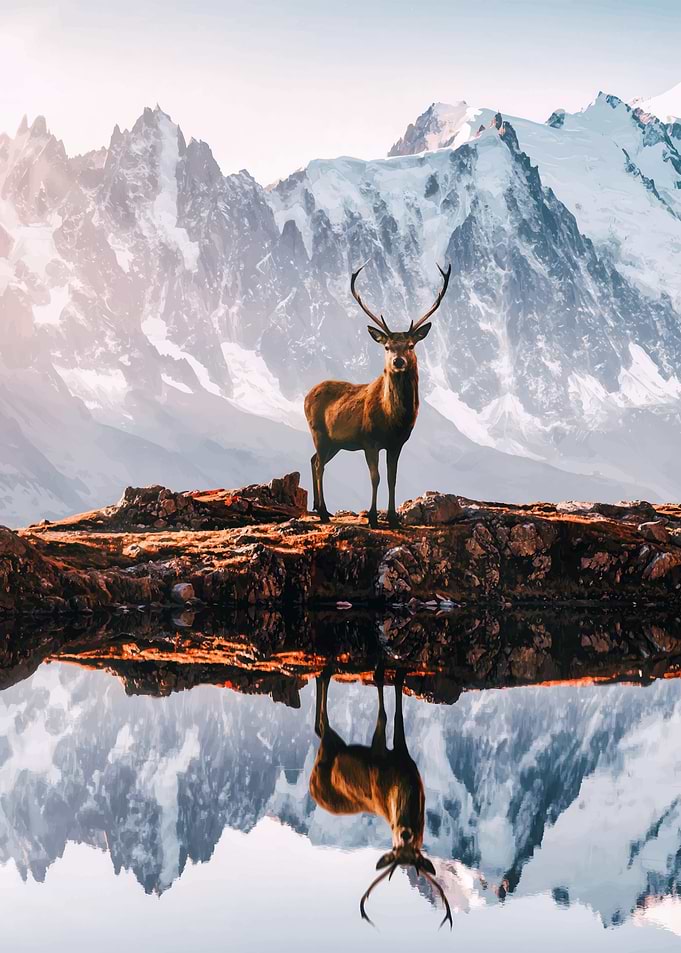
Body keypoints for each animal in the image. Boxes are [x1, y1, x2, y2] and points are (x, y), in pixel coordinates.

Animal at [304, 263, 451, 528]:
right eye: (387, 346)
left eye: (411, 345)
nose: (398, 361)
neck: (393, 419)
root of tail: (306, 395)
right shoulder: (369, 440)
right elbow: (376, 477)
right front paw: (373, 517)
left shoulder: (397, 443)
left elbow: (392, 478)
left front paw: (393, 518)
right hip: (318, 432)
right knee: (319, 465)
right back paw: (323, 513)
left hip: (334, 442)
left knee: (313, 460)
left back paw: (320, 508)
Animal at [309, 670, 453, 928]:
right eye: (394, 848)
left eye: (416, 852)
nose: (405, 832)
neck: (403, 785)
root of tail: (311, 786)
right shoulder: (380, 756)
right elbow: (387, 715)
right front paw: (386, 675)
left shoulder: (404, 757)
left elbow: (396, 715)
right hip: (328, 750)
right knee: (323, 724)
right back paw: (325, 672)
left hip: (333, 746)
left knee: (319, 727)